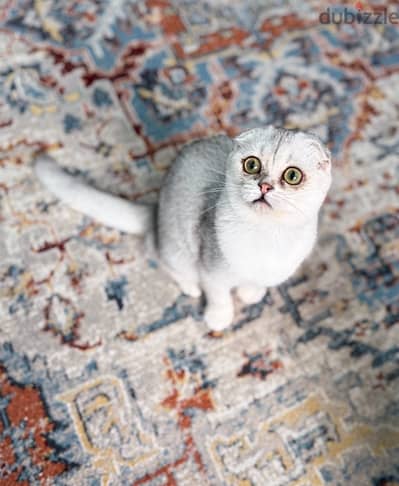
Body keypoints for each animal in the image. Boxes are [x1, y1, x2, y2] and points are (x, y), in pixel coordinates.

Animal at [36, 126, 332, 330]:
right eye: (252, 164)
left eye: (292, 176)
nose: (265, 186)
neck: (266, 237)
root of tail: (155, 210)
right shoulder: (211, 269)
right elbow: (219, 296)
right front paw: (219, 318)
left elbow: (256, 282)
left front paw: (251, 294)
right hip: (177, 249)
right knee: (159, 256)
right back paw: (190, 287)